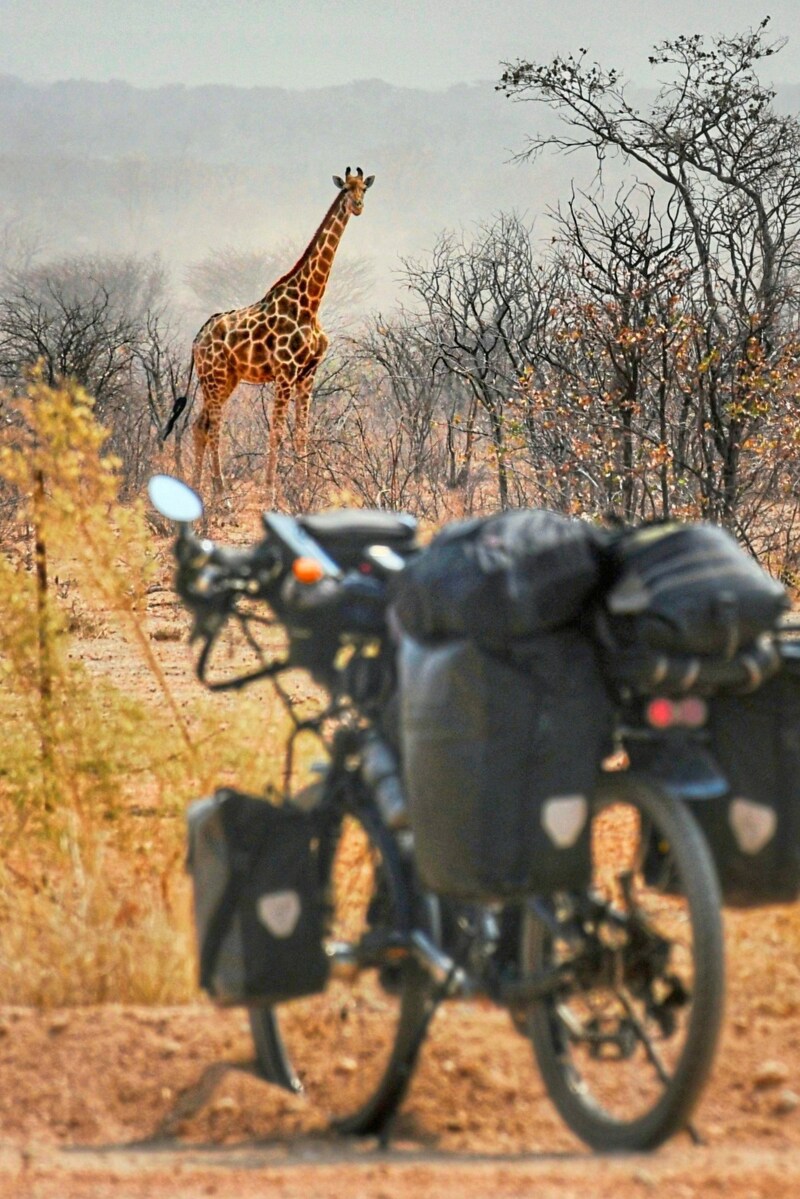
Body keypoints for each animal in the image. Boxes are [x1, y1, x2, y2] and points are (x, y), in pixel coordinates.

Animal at [164, 167, 376, 501]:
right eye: (345, 189)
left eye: (363, 189)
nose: (357, 206)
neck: (310, 302)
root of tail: (196, 341)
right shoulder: (285, 372)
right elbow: (276, 430)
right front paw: (271, 490)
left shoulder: (307, 374)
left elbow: (302, 431)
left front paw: (304, 488)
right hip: (215, 376)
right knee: (212, 426)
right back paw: (221, 494)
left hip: (225, 378)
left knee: (200, 425)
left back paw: (198, 489)